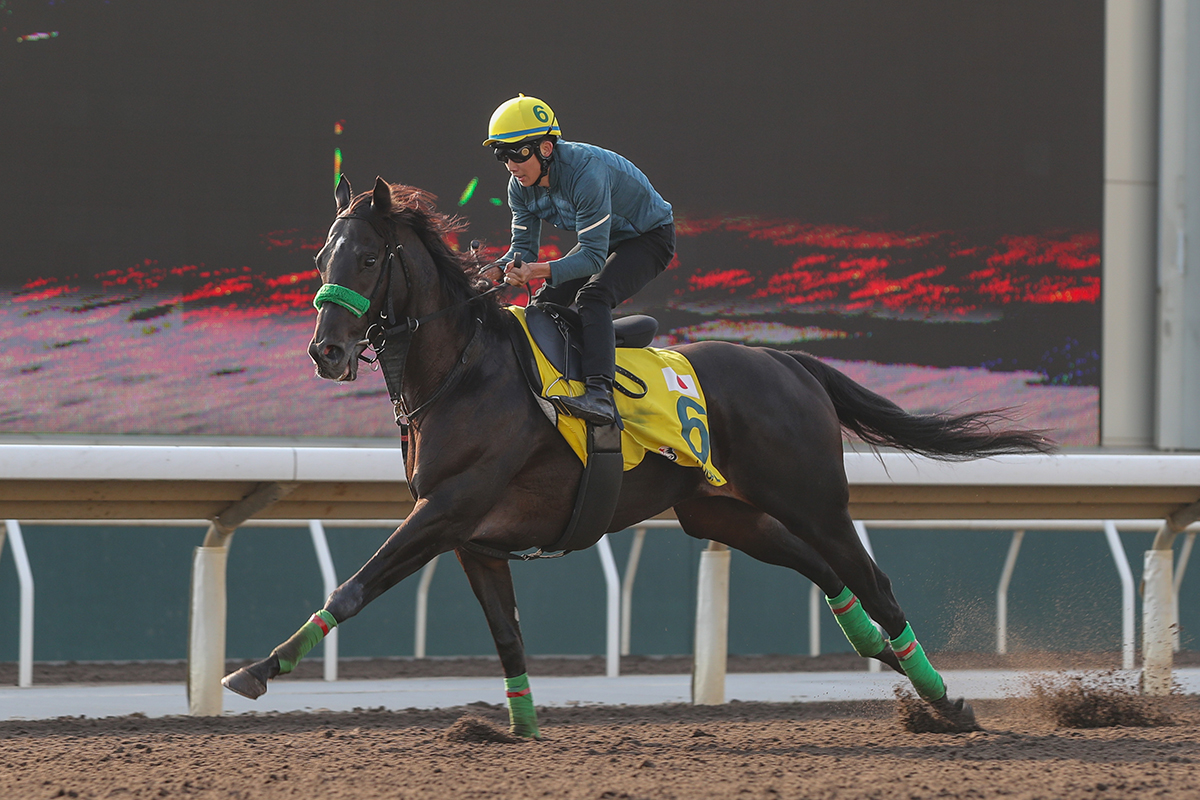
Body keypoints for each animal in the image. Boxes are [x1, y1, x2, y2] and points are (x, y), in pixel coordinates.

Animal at [223, 178, 1051, 734]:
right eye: (321, 255)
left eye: (367, 258)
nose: (325, 352)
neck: (462, 371)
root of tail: (789, 363)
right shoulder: (472, 538)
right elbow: (506, 633)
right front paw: (518, 728)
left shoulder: (448, 508)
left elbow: (352, 589)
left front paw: (257, 671)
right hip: (720, 512)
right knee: (821, 570)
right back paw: (875, 649)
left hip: (813, 498)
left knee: (873, 579)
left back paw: (945, 699)